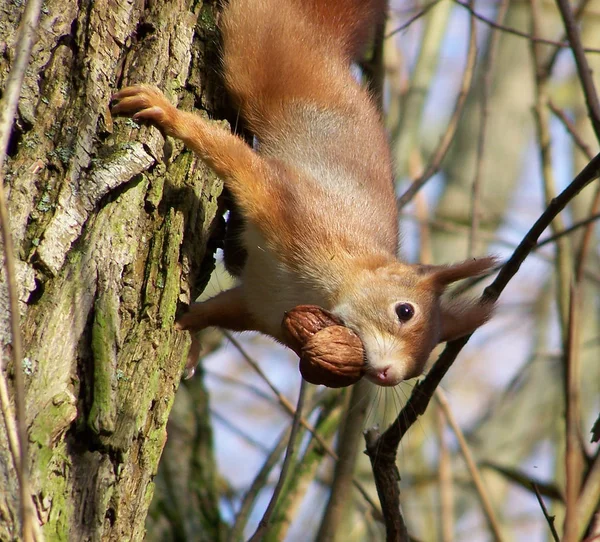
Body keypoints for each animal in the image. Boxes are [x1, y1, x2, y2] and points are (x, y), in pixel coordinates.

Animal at [110, 0, 494, 386]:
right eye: (404, 311)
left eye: (423, 362)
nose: (390, 376)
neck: (326, 289)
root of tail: (328, 47)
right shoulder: (290, 206)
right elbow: (230, 157)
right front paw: (169, 115)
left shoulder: (259, 305)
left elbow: (212, 312)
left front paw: (185, 334)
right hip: (258, 51)